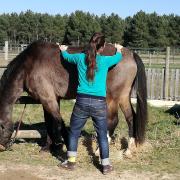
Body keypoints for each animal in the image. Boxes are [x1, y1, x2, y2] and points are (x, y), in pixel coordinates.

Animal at [0, 40, 147, 155]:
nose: (2, 147)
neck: (30, 65)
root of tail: (130, 54)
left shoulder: (48, 99)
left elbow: (58, 122)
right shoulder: (51, 99)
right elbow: (50, 123)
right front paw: (49, 147)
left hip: (112, 98)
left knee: (114, 120)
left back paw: (99, 151)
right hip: (123, 97)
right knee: (131, 118)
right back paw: (128, 150)